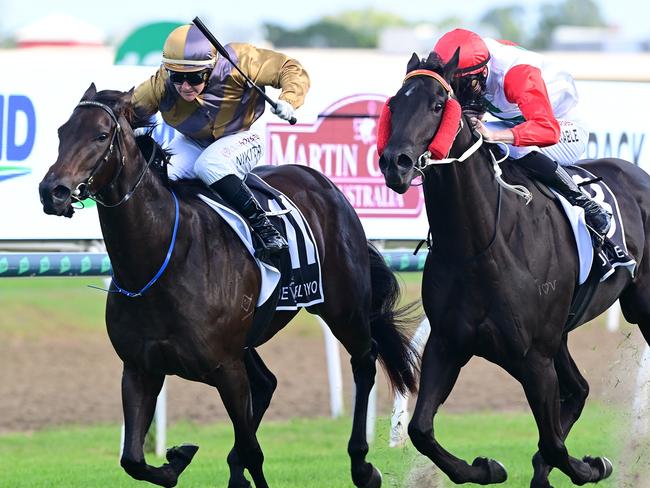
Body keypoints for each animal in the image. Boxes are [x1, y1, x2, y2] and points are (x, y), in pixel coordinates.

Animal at [36, 85, 420, 488]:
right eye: (62, 132)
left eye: (100, 135)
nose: (53, 191)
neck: (160, 258)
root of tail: (324, 183)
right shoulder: (140, 368)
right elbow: (133, 459)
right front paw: (177, 458)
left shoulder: (225, 367)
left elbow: (254, 451)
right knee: (266, 383)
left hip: (343, 307)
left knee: (364, 361)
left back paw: (361, 464)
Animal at [374, 51, 648, 486]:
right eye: (394, 105)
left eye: (438, 105)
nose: (394, 163)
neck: (478, 247)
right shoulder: (448, 344)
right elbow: (420, 430)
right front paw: (486, 467)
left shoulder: (533, 358)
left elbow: (553, 443)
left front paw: (592, 466)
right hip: (559, 335)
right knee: (579, 389)